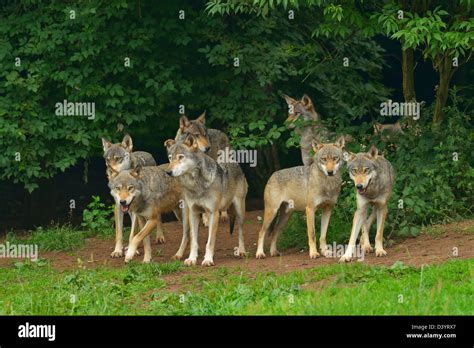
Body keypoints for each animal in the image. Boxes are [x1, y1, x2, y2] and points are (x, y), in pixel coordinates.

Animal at [166, 136, 248, 266]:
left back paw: (241, 251)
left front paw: (208, 260)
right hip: (186, 217)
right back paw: (178, 254)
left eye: (181, 157)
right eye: (170, 158)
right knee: (186, 236)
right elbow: (194, 241)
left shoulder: (214, 213)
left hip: (239, 212)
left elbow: (210, 242)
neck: (196, 185)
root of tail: (235, 163)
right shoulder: (194, 213)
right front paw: (192, 259)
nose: (168, 172)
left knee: (240, 232)